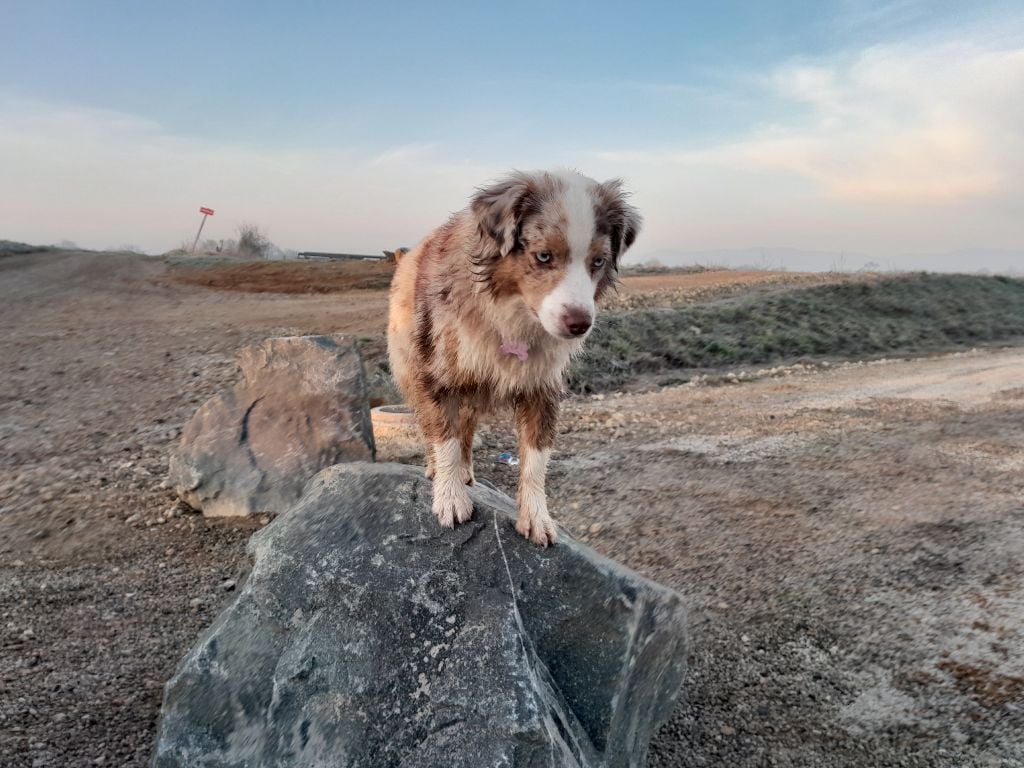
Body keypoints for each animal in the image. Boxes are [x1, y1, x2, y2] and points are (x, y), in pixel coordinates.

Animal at [385, 169, 638, 548]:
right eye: (543, 256)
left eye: (598, 261)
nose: (579, 324)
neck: (512, 316)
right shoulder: (438, 374)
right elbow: (445, 439)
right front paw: (450, 496)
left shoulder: (543, 385)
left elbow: (535, 459)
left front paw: (536, 516)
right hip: (411, 369)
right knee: (431, 424)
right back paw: (438, 469)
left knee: (467, 428)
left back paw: (467, 471)